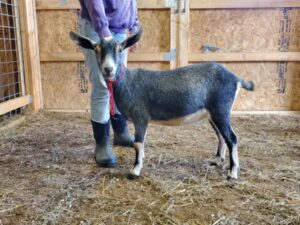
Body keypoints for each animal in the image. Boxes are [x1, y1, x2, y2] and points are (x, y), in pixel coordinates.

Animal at [69, 26, 253, 180]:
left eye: (120, 50)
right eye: (96, 50)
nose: (109, 69)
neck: (127, 82)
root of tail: (236, 78)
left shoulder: (141, 116)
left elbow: (138, 143)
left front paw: (135, 170)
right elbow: (140, 143)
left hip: (221, 109)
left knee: (232, 137)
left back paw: (232, 173)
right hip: (213, 113)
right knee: (221, 135)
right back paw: (217, 160)